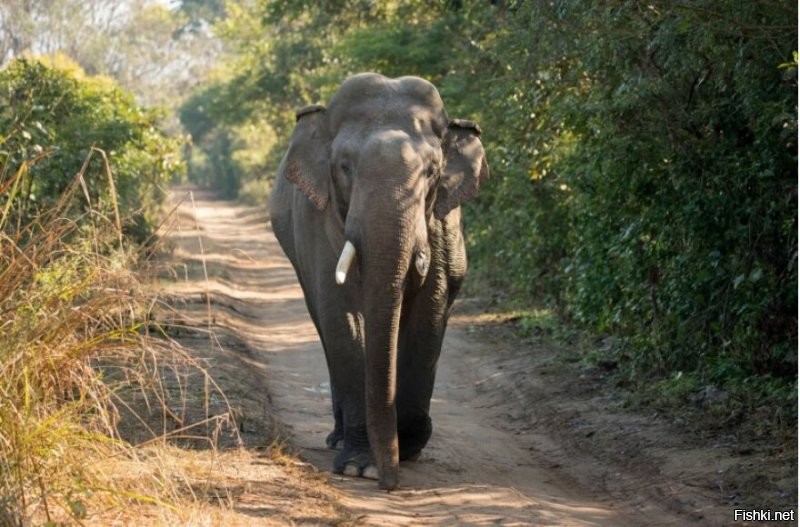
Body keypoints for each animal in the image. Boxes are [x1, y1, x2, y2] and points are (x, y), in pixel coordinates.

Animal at [269, 73, 489, 490]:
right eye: (344, 167)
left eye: (432, 172)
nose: (389, 484)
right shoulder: (318, 223)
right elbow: (341, 316)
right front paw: (359, 466)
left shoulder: (438, 222)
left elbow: (429, 312)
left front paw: (409, 444)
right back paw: (339, 438)